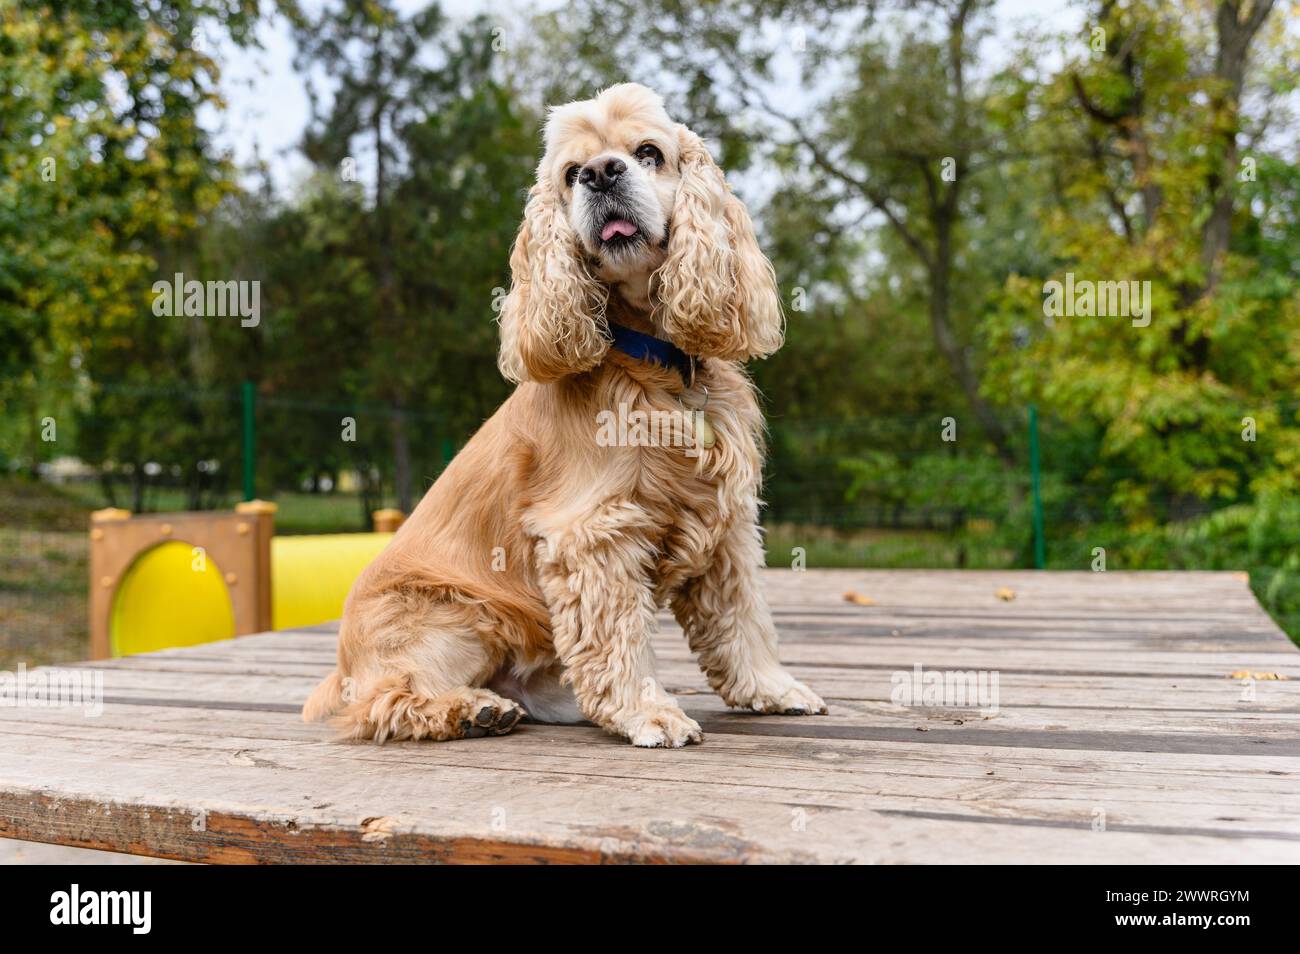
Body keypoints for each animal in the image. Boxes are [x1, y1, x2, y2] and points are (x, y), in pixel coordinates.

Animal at [304, 83, 821, 748]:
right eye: (572, 173)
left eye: (648, 153)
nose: (601, 174)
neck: (661, 363)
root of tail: (343, 666)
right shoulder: (595, 531)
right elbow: (618, 636)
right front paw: (646, 712)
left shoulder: (727, 524)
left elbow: (743, 619)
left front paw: (772, 688)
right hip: (454, 620)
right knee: (384, 700)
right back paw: (469, 709)